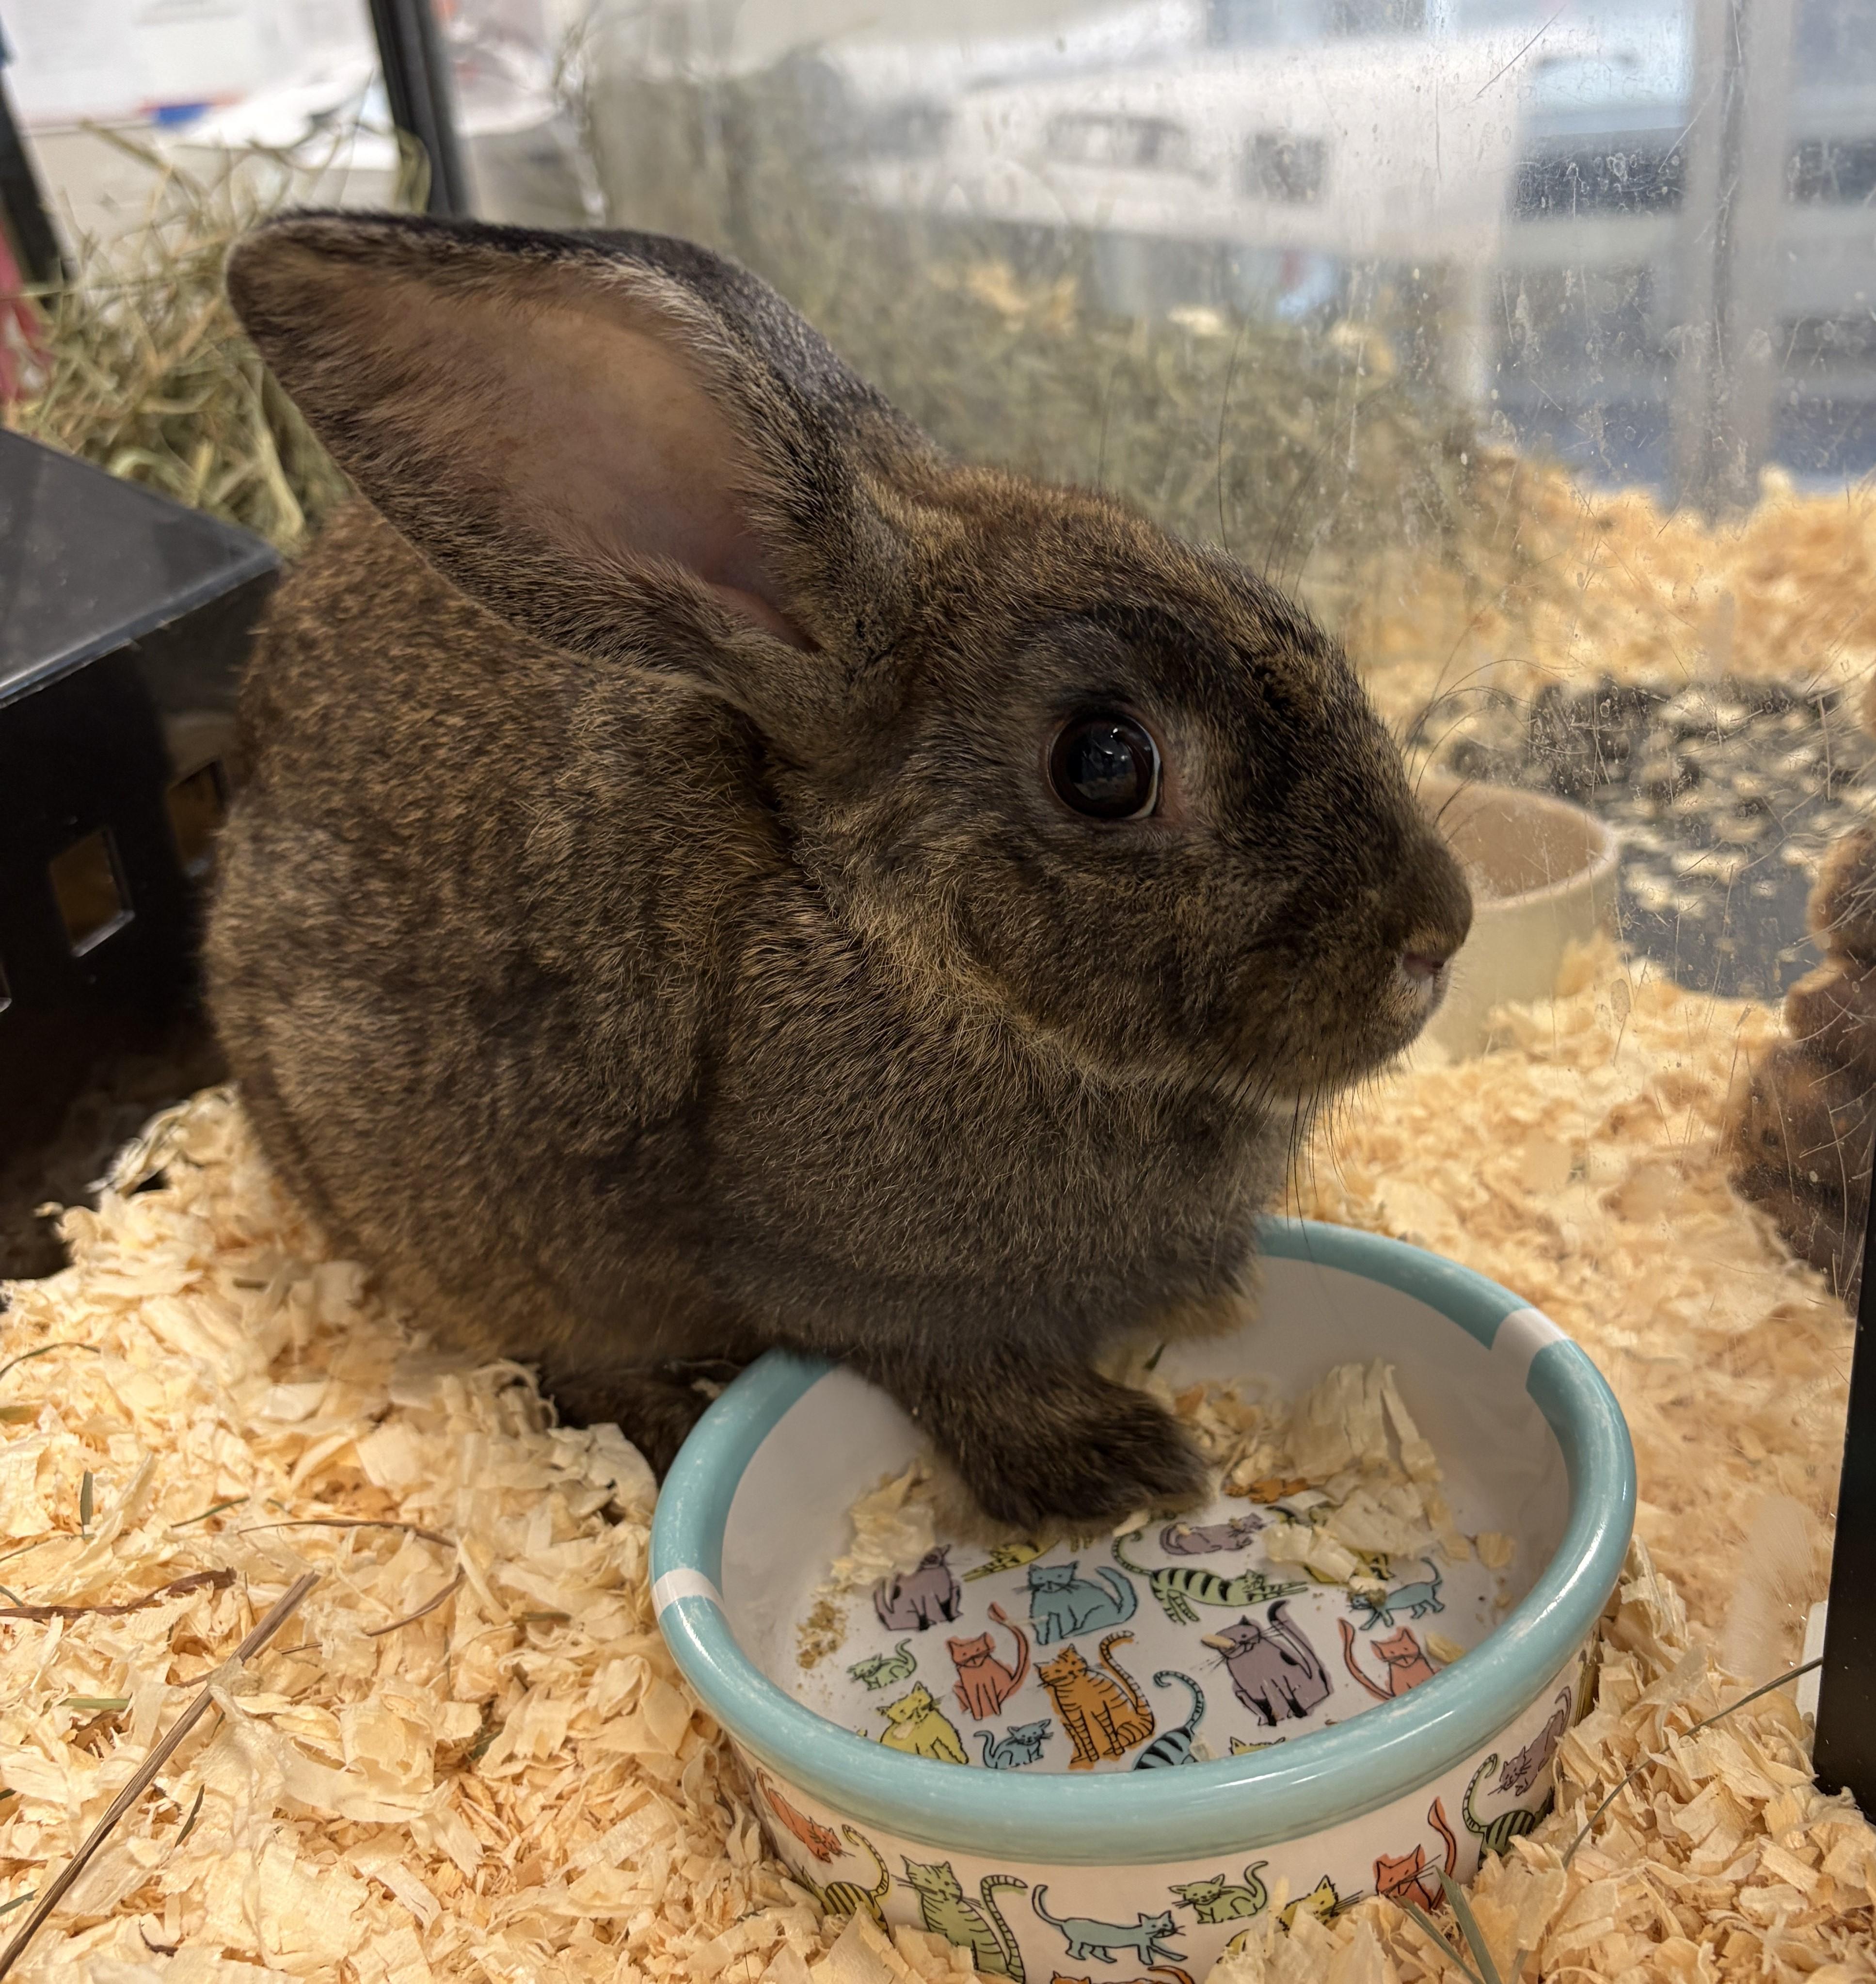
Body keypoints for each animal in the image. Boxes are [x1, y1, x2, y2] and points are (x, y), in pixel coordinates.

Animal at [209, 212, 1472, 1529]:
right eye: (1106, 763)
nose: (1436, 933)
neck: (903, 946)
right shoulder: (851, 1288)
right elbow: (954, 1366)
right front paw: (1116, 1461)